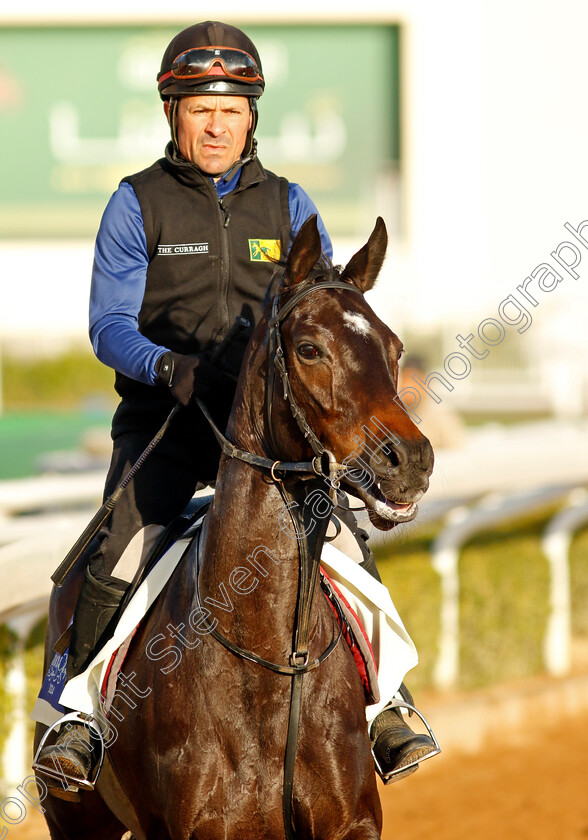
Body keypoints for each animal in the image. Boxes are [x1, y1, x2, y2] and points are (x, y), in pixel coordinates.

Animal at [35, 218, 432, 840]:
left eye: (394, 348)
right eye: (309, 348)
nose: (410, 461)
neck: (269, 664)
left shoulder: (351, 824)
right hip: (76, 817)